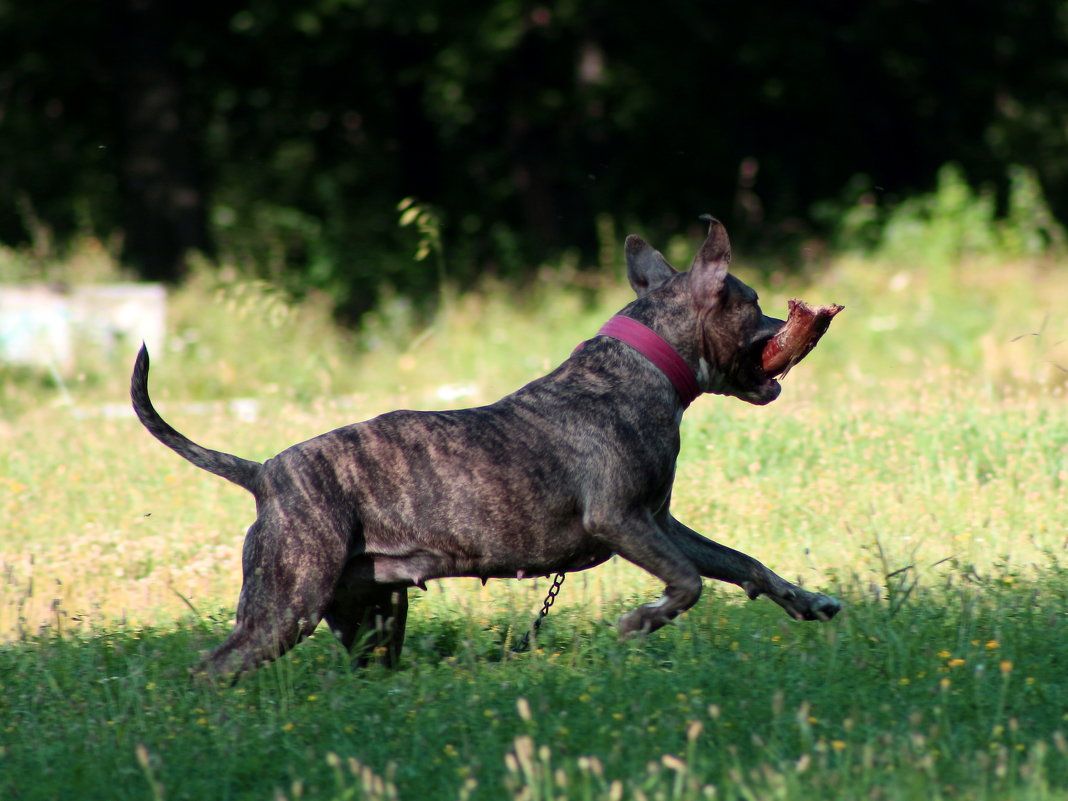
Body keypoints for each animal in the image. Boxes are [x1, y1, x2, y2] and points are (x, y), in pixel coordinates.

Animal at [129, 221, 837, 683]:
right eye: (753, 303)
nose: (789, 326)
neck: (651, 361)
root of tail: (264, 474)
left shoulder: (659, 521)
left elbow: (738, 562)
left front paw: (808, 601)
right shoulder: (621, 520)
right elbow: (688, 582)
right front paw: (641, 621)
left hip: (371, 612)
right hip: (288, 600)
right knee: (212, 667)